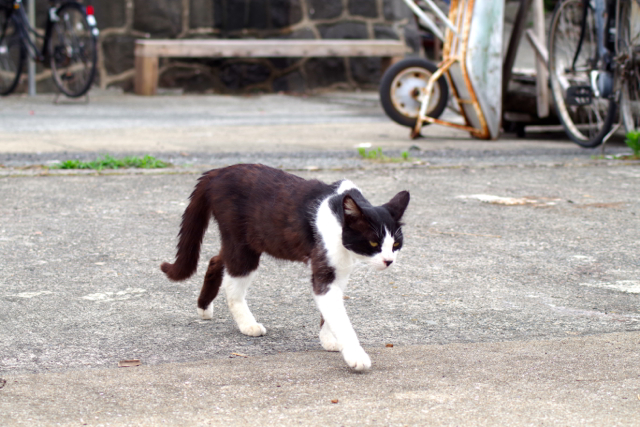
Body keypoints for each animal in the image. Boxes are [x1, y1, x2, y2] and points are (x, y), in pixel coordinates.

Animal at [161, 164, 410, 371]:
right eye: (373, 243)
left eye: (396, 244)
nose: (389, 260)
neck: (338, 219)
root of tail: (217, 172)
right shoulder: (325, 269)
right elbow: (340, 317)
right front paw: (355, 355)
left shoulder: (339, 271)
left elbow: (330, 310)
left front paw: (329, 339)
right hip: (243, 245)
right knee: (233, 285)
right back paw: (248, 325)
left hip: (243, 243)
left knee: (216, 259)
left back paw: (204, 307)